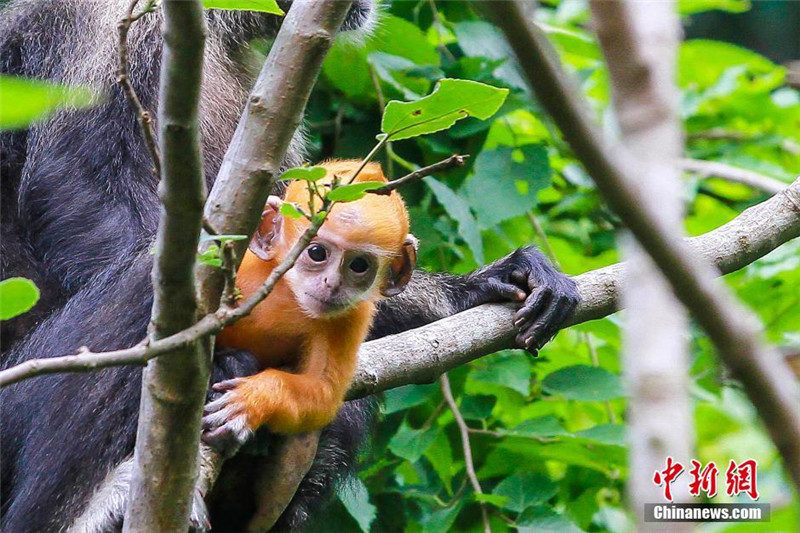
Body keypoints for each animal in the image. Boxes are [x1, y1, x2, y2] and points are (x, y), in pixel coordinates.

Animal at [202, 159, 418, 448]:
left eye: (359, 265)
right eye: (317, 253)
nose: (332, 284)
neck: (288, 296)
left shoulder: (351, 318)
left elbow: (322, 396)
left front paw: (254, 399)